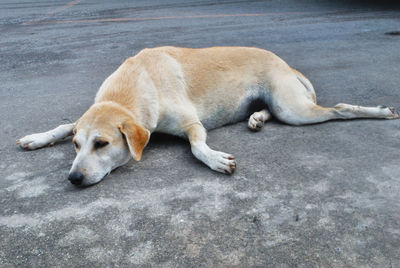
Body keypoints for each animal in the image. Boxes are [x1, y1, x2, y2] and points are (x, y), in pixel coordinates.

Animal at [16, 46, 400, 186]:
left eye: (102, 144)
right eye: (77, 146)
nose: (73, 178)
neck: (133, 86)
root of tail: (284, 61)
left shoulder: (191, 124)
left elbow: (197, 147)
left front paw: (215, 159)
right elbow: (65, 123)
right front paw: (38, 137)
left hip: (294, 109)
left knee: (339, 110)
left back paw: (379, 112)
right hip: (279, 105)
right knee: (267, 112)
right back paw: (257, 119)